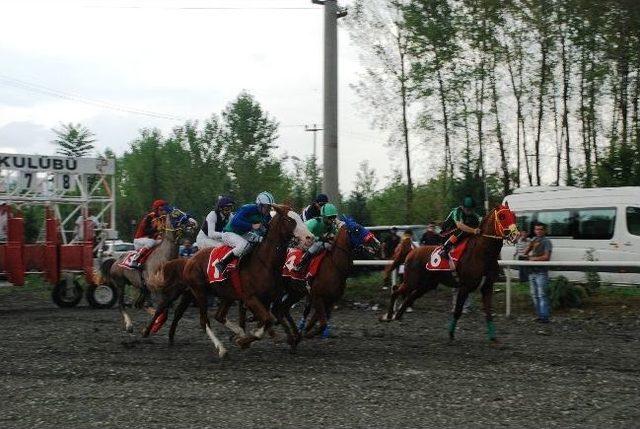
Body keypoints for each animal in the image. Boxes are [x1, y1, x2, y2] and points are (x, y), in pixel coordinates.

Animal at [150, 202, 312, 356]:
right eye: (289, 219)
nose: (310, 238)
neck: (265, 263)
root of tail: (189, 260)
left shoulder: (267, 299)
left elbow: (267, 322)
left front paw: (245, 339)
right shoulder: (250, 298)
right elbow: (267, 320)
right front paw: (243, 341)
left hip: (225, 295)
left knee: (219, 316)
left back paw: (237, 333)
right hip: (199, 292)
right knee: (204, 321)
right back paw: (221, 349)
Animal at [274, 214, 380, 344]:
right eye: (356, 229)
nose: (376, 243)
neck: (334, 266)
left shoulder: (331, 300)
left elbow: (319, 320)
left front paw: (306, 331)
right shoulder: (317, 297)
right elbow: (322, 322)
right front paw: (307, 333)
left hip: (295, 292)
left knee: (283, 308)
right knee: (276, 308)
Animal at [380, 202, 520, 342]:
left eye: (513, 216)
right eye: (502, 216)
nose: (516, 235)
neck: (483, 253)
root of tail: (412, 251)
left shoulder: (487, 287)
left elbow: (488, 312)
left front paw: (493, 337)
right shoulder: (465, 286)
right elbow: (457, 311)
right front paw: (451, 334)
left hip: (426, 285)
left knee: (409, 297)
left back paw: (398, 316)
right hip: (412, 281)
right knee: (395, 290)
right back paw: (388, 316)